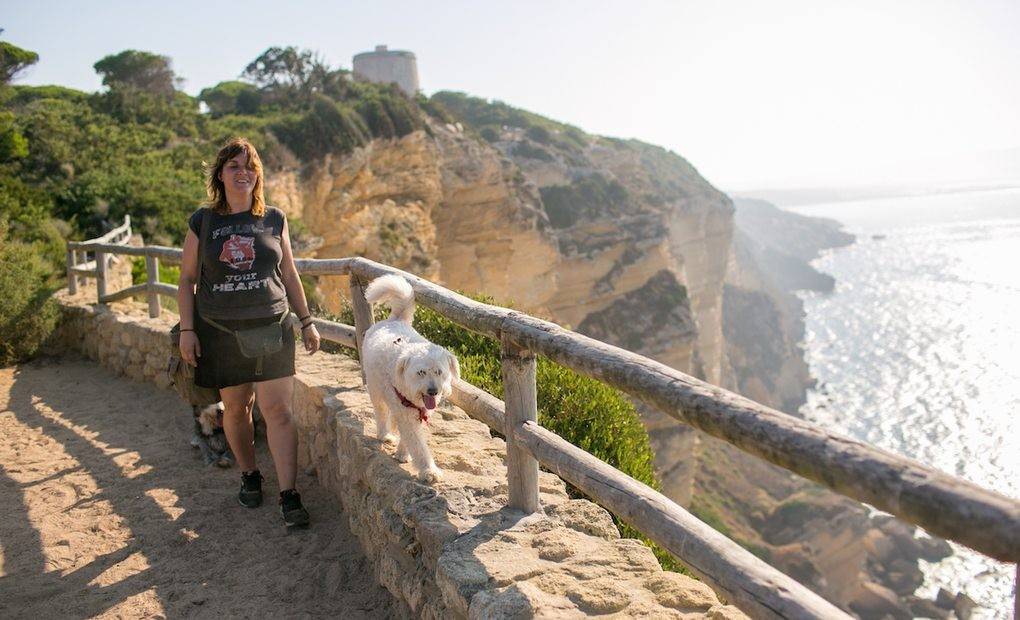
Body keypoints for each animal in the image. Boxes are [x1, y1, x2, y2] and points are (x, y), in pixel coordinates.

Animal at [361, 273, 461, 481]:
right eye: (421, 372)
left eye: (439, 372)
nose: (433, 391)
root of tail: (395, 320)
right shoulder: (407, 414)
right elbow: (417, 443)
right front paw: (429, 471)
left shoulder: (418, 412)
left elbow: (409, 436)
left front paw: (402, 454)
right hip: (375, 388)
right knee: (381, 412)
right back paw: (384, 435)